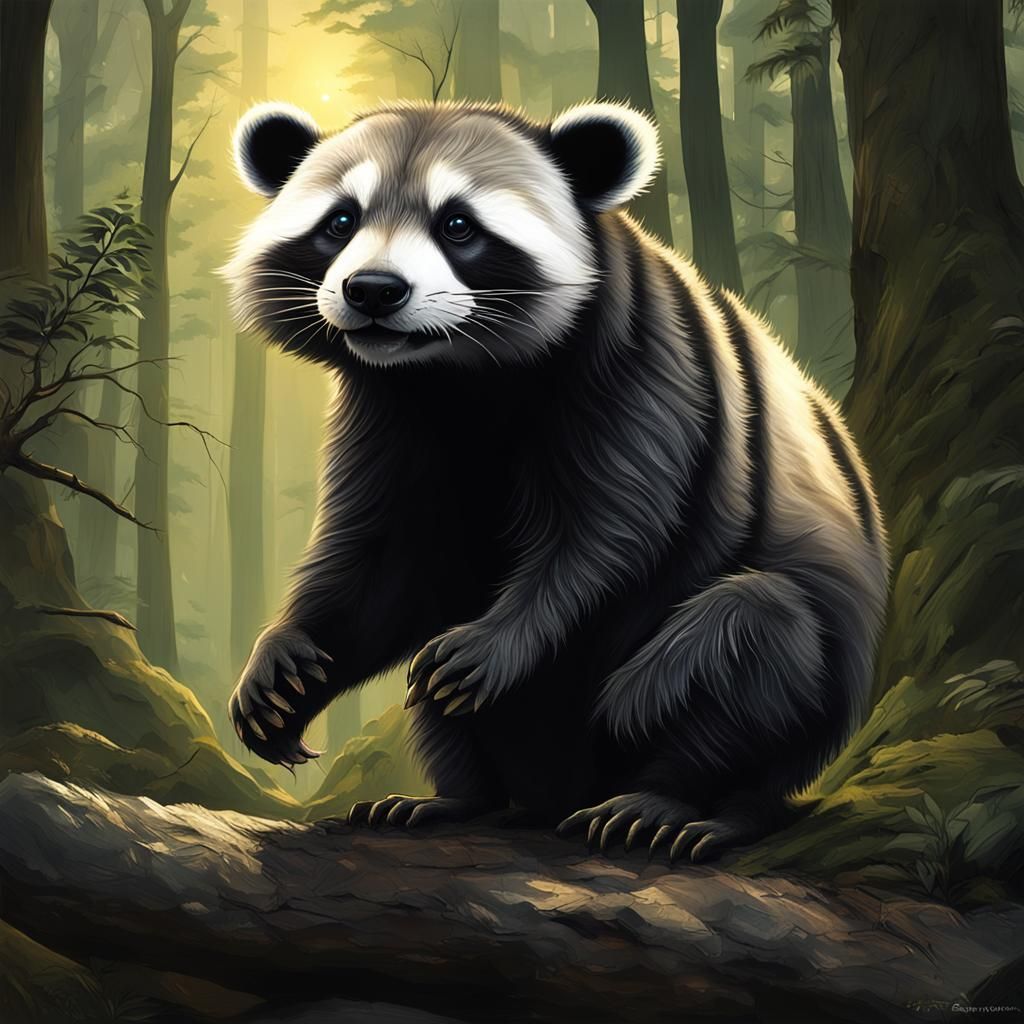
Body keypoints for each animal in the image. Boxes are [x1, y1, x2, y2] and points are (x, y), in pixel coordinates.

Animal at [222, 98, 888, 862]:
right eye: (340, 221)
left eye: (458, 224)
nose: (374, 292)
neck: (457, 370)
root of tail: (556, 795)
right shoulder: (390, 412)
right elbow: (384, 566)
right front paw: (281, 673)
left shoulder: (640, 365)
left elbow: (610, 539)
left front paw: (490, 645)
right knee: (441, 709)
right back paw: (456, 798)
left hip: (807, 686)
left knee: (748, 646)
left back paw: (674, 803)